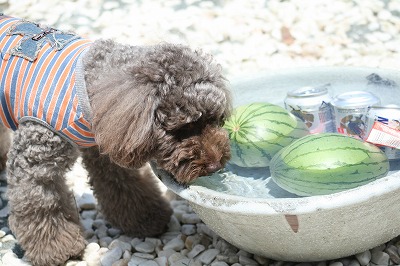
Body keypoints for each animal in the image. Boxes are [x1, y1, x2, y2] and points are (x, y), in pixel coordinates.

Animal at [0, 15, 231, 264]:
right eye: (184, 127)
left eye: (214, 120)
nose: (216, 165)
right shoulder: (34, 162)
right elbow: (41, 203)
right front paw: (57, 249)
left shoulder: (107, 147)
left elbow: (124, 186)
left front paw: (147, 219)